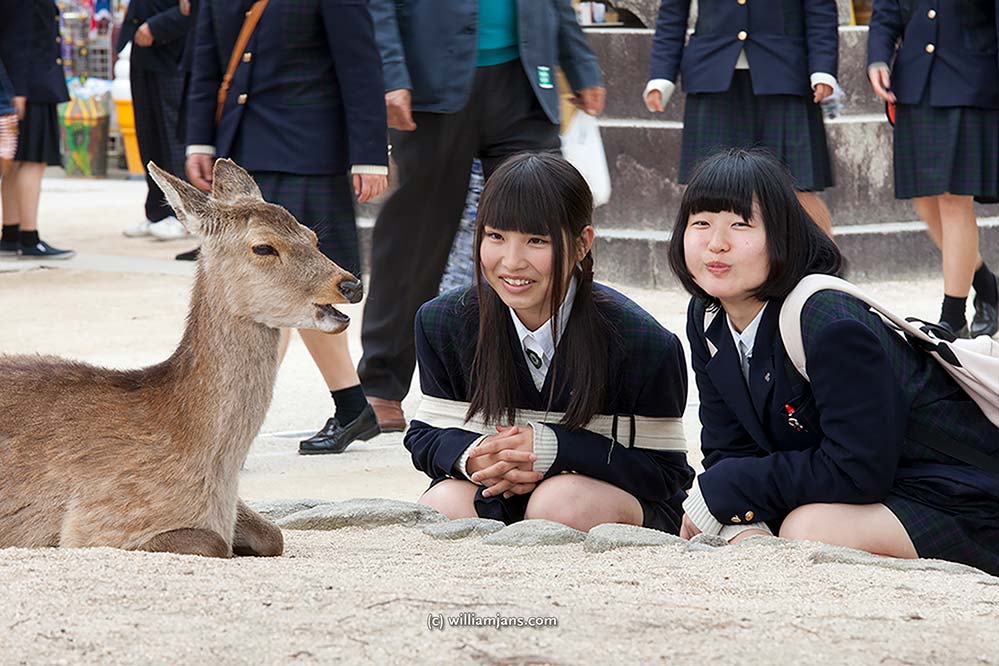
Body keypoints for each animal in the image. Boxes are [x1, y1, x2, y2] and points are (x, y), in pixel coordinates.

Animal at [0, 159, 363, 558]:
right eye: (264, 247)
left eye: (312, 236)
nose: (351, 285)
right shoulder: (95, 522)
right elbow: (215, 543)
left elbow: (273, 535)